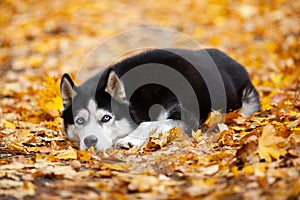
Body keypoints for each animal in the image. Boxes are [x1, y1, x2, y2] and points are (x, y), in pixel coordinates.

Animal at [60, 48, 260, 150]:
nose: (90, 141)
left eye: (106, 118)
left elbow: (147, 123)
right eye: (79, 121)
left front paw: (129, 140)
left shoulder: (186, 116)